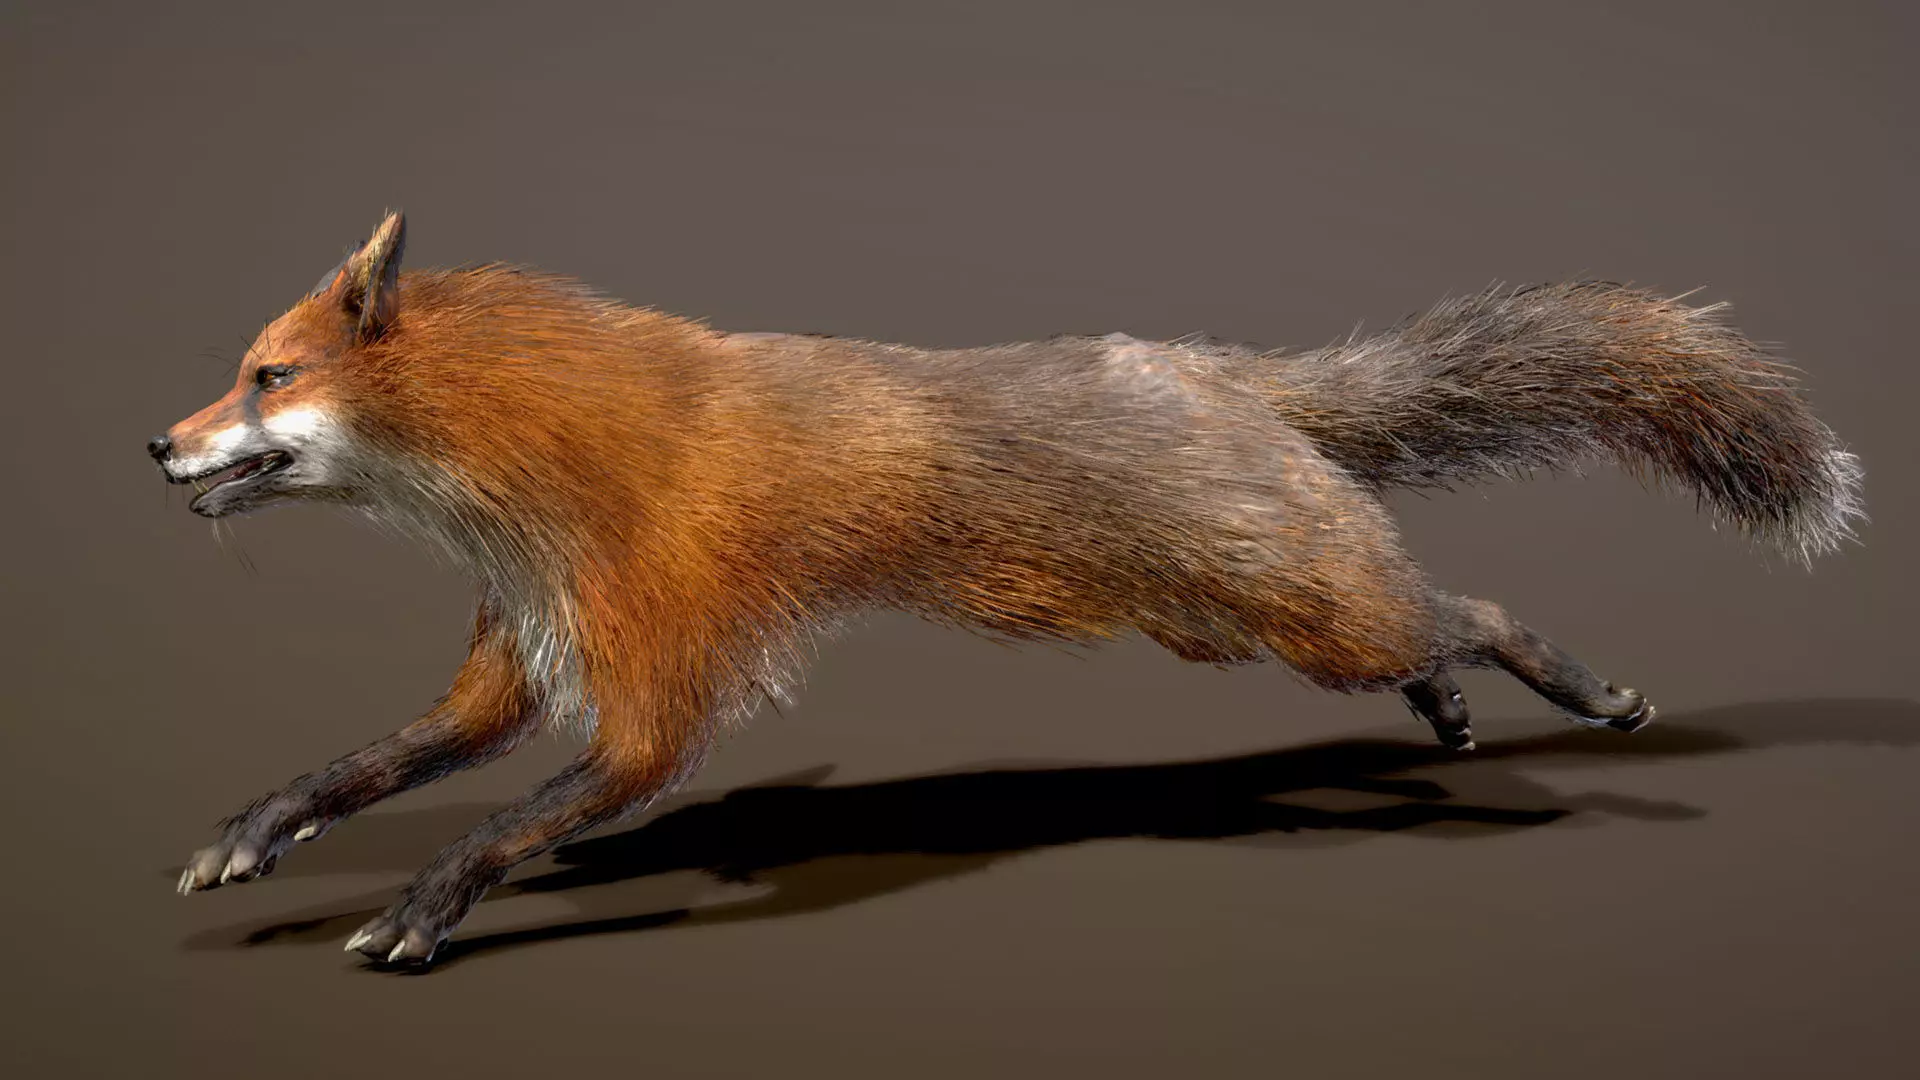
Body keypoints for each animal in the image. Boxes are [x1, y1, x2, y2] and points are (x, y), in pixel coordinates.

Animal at [154, 211, 1864, 967]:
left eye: (266, 375)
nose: (156, 444)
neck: (543, 481)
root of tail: (1223, 371)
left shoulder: (657, 695)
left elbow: (511, 824)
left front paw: (424, 909)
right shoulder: (520, 660)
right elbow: (366, 764)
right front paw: (251, 834)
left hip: (1295, 608)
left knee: (1472, 612)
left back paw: (1586, 697)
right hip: (1246, 624)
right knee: (1431, 636)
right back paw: (1447, 715)